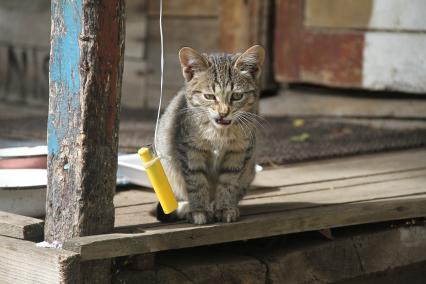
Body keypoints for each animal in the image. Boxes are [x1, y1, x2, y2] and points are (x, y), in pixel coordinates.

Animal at [155, 44, 264, 224]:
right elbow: (197, 182)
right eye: (209, 96)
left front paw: (225, 207)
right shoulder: (190, 151)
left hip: (249, 171)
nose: (223, 113)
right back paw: (187, 208)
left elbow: (228, 182)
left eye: (237, 95)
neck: (219, 132)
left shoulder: (239, 152)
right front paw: (199, 210)